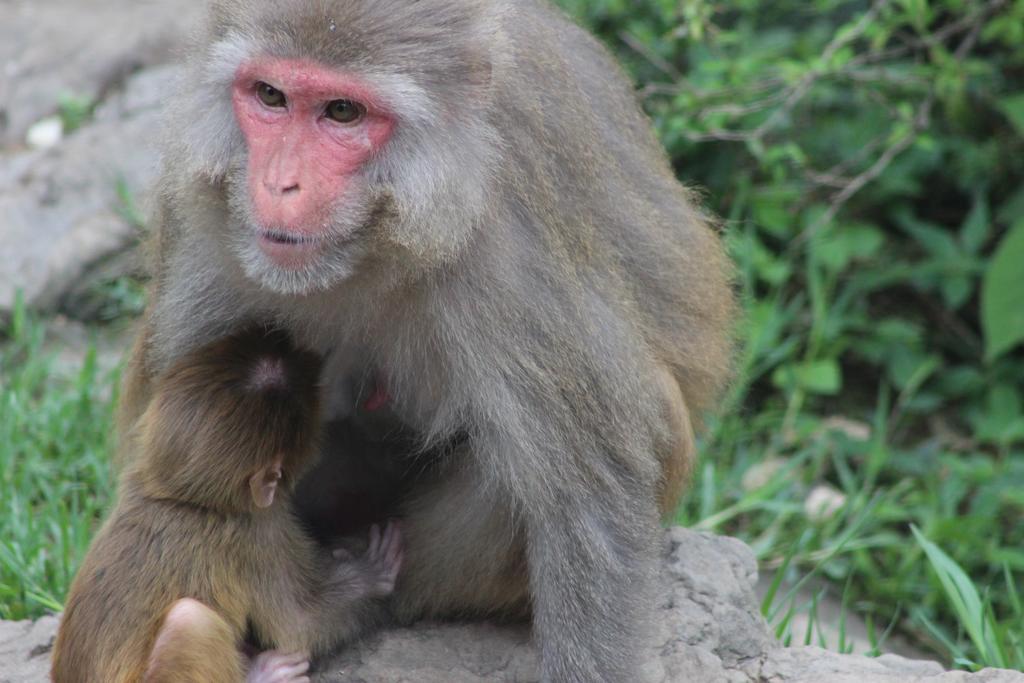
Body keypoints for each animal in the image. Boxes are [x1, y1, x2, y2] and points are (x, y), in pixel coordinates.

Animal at [119, 2, 737, 679]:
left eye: (343, 112)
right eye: (271, 96)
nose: (280, 184)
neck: (377, 243)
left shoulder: (511, 244)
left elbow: (589, 494)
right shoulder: (205, 213)